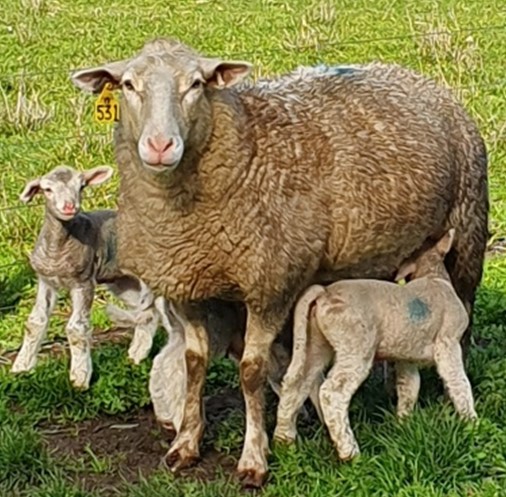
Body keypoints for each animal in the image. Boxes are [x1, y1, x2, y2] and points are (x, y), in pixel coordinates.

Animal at [69, 36, 488, 486]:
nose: (160, 146)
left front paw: (255, 457)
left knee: (463, 321)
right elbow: (195, 363)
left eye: (197, 84)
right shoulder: (188, 284)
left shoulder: (270, 285)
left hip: (467, 233)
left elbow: (252, 371)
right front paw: (186, 444)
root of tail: (412, 76)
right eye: (128, 84)